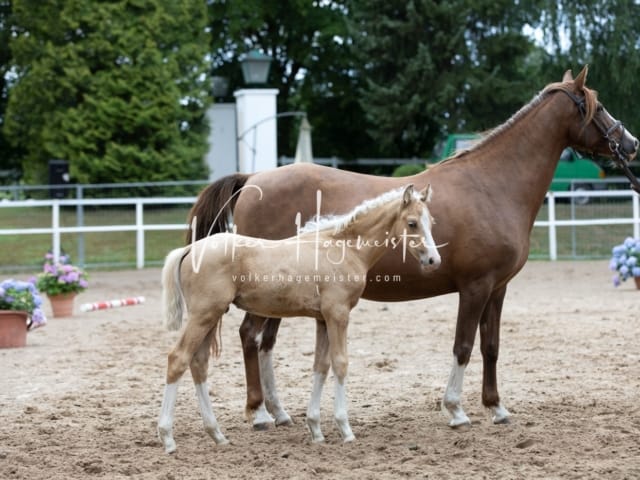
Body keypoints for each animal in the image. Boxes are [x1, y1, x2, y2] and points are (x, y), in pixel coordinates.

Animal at [158, 185, 442, 454]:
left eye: (431, 221)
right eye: (412, 223)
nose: (433, 260)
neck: (344, 247)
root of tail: (190, 249)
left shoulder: (323, 319)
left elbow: (320, 366)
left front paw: (315, 429)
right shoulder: (338, 314)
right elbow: (340, 364)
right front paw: (345, 429)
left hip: (210, 315)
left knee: (199, 363)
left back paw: (217, 435)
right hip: (204, 314)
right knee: (178, 359)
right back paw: (168, 438)